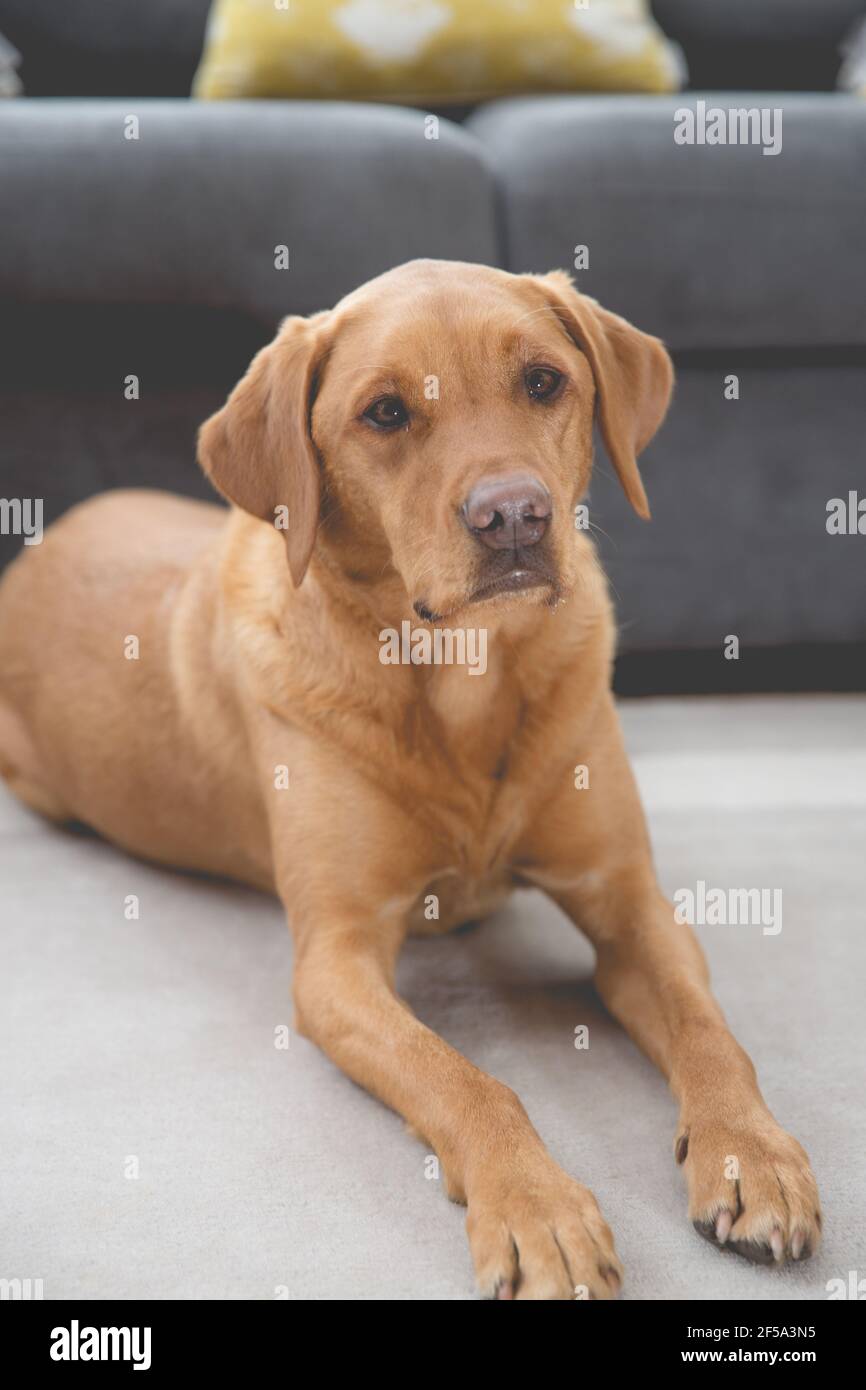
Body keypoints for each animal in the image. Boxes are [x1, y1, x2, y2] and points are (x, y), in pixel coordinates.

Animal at [0, 261, 817, 1301]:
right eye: (384, 413)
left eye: (545, 382)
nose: (515, 515)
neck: (463, 678)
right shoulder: (335, 964)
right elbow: (465, 1079)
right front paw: (537, 1209)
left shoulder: (629, 901)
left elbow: (713, 1035)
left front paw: (753, 1153)